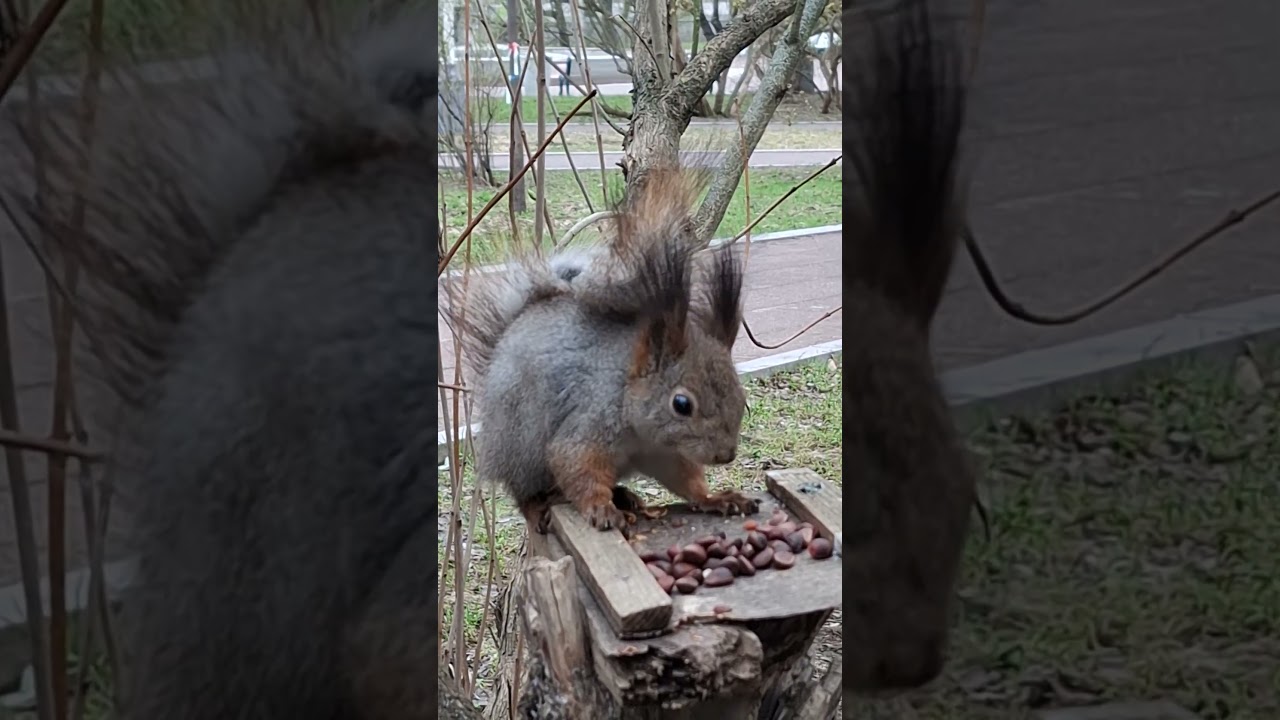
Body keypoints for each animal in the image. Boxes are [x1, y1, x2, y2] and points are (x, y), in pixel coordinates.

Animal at [444, 168, 761, 535]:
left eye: (742, 397)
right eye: (682, 404)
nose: (726, 455)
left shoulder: (662, 452)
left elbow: (684, 478)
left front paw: (716, 498)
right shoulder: (590, 422)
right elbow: (575, 464)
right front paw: (601, 509)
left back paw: (625, 495)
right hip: (522, 443)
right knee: (527, 491)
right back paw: (541, 508)